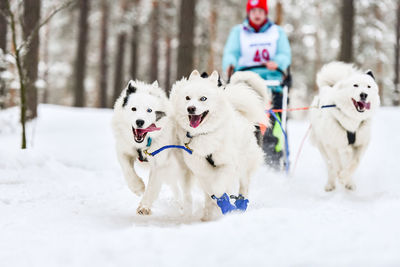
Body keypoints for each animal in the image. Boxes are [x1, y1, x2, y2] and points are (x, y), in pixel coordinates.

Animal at [111, 80, 189, 216]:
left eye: (149, 110)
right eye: (134, 109)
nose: (140, 122)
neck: (143, 144)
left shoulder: (159, 163)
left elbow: (152, 187)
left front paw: (144, 206)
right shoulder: (123, 150)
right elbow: (127, 171)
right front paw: (138, 187)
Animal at [170, 70, 270, 221]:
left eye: (203, 98)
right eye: (187, 98)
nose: (191, 108)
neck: (204, 134)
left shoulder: (228, 164)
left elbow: (217, 188)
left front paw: (223, 202)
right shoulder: (199, 168)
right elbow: (210, 187)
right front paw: (216, 206)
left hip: (245, 163)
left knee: (244, 185)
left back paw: (240, 205)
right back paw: (208, 214)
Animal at [310, 61, 380, 192]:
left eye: (368, 86)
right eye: (355, 85)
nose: (364, 95)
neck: (351, 120)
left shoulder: (361, 144)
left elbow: (355, 162)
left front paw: (346, 179)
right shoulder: (331, 145)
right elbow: (336, 164)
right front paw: (341, 177)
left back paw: (349, 182)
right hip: (322, 145)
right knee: (330, 166)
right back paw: (331, 184)